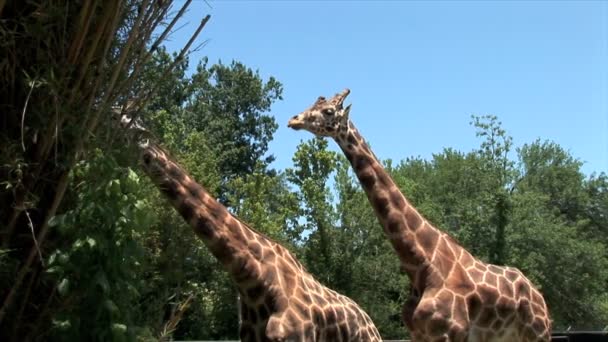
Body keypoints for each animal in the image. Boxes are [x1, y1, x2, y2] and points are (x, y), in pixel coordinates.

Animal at [286, 89, 552, 342]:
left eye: (329, 111)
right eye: (314, 104)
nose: (293, 119)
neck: (421, 263)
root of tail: (539, 296)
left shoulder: (448, 334)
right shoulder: (419, 333)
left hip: (536, 333)